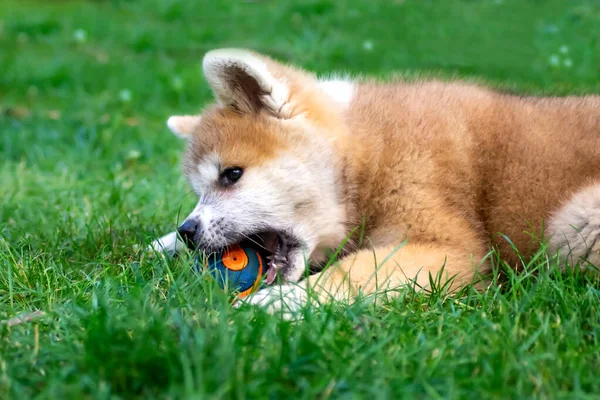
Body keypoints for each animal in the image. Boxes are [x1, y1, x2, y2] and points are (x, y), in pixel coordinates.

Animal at [149, 49, 600, 312]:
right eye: (197, 192)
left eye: (232, 175)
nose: (188, 230)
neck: (371, 151)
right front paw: (163, 244)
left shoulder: (448, 249)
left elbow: (349, 272)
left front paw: (278, 302)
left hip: (576, 220)